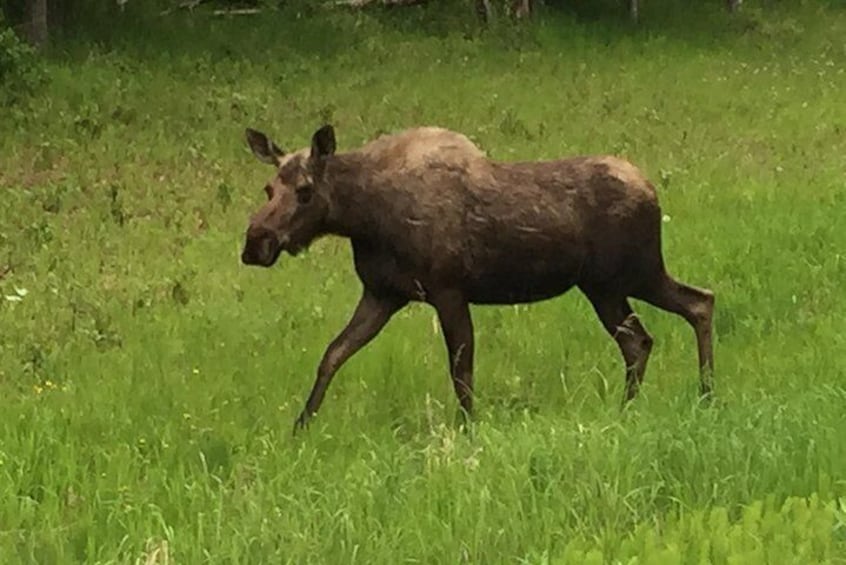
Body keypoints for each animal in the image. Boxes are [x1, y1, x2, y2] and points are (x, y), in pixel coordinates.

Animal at [242, 124, 720, 432]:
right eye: (268, 189)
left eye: (305, 191)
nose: (254, 243)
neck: (364, 218)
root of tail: (652, 190)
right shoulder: (382, 294)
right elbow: (332, 354)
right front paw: (300, 426)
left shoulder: (448, 290)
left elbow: (461, 370)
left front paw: (470, 429)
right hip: (608, 286)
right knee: (654, 331)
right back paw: (656, 403)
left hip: (630, 275)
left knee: (690, 307)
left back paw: (697, 395)